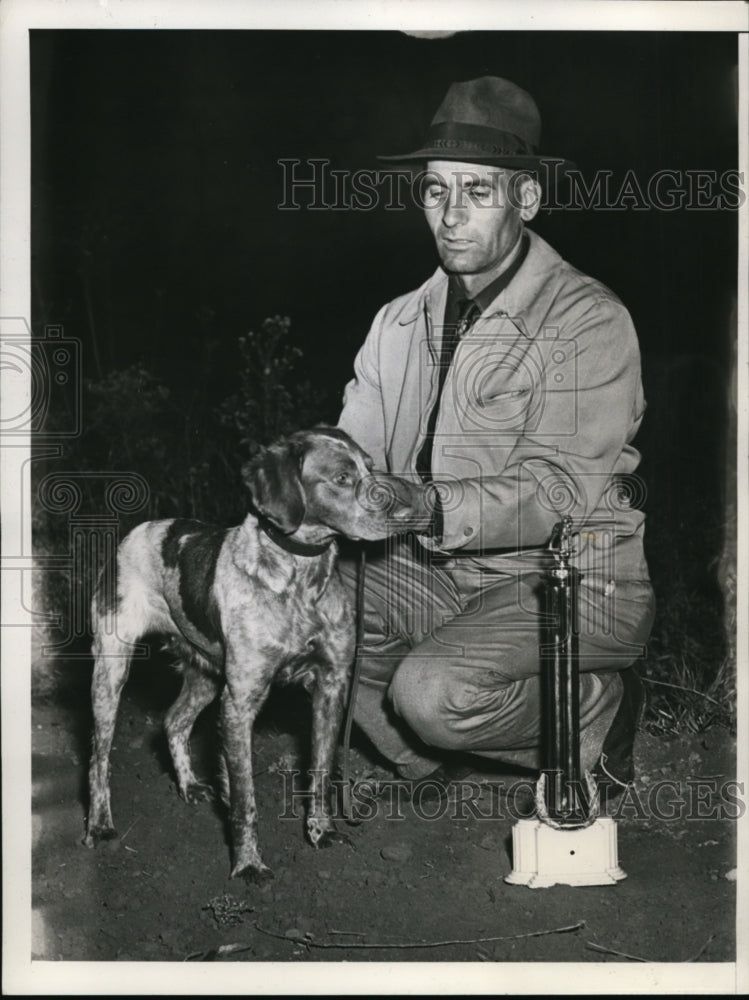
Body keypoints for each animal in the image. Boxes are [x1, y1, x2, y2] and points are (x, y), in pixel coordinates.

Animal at [84, 426, 430, 880]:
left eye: (370, 467)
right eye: (341, 477)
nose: (410, 512)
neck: (300, 581)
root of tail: (142, 529)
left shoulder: (330, 687)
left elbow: (320, 772)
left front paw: (321, 832)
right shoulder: (240, 701)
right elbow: (245, 798)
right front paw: (248, 863)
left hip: (206, 674)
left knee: (173, 721)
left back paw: (189, 785)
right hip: (110, 672)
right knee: (98, 758)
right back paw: (99, 824)